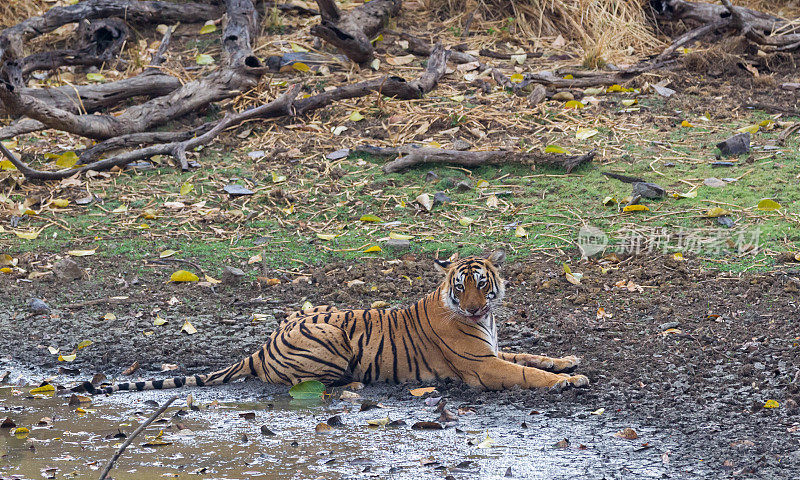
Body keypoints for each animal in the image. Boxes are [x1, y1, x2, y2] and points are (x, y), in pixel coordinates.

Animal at [76, 251, 588, 394]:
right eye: (459, 287)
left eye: (481, 284)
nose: (475, 307)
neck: (486, 322)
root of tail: (259, 347)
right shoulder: (483, 366)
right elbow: (525, 372)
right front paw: (568, 381)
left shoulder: (495, 349)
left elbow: (531, 354)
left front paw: (568, 360)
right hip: (330, 336)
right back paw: (354, 383)